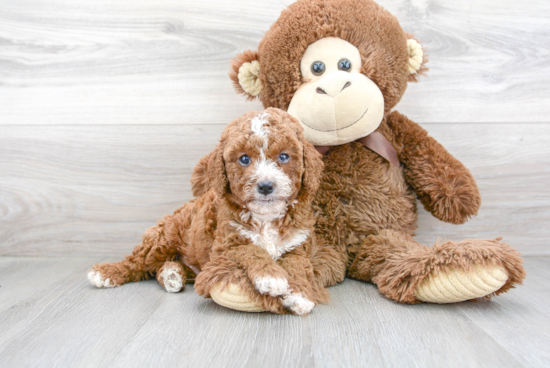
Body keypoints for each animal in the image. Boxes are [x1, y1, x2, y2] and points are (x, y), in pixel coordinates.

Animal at [87, 108, 328, 314]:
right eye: (244, 159)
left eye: (284, 156)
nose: (266, 186)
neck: (265, 217)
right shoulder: (225, 244)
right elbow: (250, 249)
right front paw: (270, 276)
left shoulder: (297, 245)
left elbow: (298, 265)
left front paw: (300, 294)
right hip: (164, 238)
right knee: (137, 261)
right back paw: (107, 273)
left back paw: (171, 274)